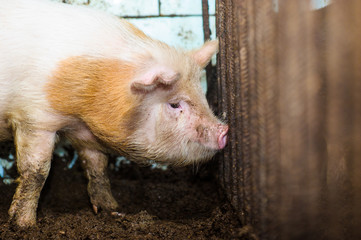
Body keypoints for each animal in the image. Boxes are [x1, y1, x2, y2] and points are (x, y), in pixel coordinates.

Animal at [0, 0, 228, 227]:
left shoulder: (85, 130)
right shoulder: (33, 119)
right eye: (174, 104)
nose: (224, 130)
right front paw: (24, 225)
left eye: (202, 95)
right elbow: (36, 171)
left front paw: (111, 210)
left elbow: (98, 165)